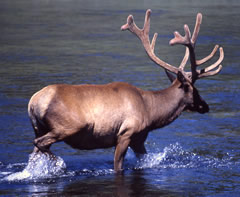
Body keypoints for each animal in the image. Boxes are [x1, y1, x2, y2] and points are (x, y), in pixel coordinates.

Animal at [27, 10, 223, 172]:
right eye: (194, 90)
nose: (205, 106)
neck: (152, 113)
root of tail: (33, 103)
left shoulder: (139, 139)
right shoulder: (125, 133)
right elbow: (118, 167)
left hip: (39, 127)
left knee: (34, 152)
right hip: (68, 126)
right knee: (40, 144)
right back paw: (60, 164)